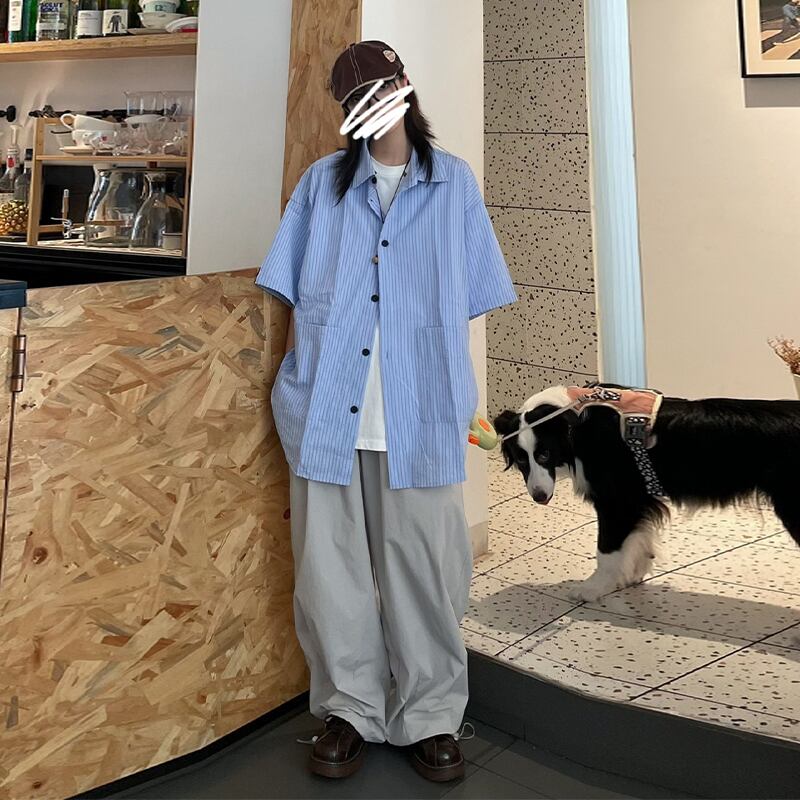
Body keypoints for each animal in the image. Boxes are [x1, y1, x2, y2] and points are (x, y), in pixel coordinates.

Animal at [494, 385, 800, 603]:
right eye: (520, 460)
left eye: (544, 454)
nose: (539, 497)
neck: (576, 420)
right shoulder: (640, 499)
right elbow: (639, 538)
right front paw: (633, 574)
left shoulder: (617, 501)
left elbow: (606, 549)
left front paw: (594, 588)